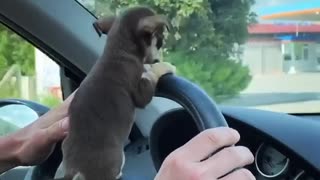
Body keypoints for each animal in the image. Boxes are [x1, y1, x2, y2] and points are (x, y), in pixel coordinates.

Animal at [56, 6, 174, 180]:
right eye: (159, 42)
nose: (158, 58)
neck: (119, 49)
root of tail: (74, 170)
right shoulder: (140, 93)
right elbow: (151, 76)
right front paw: (163, 67)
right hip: (115, 159)